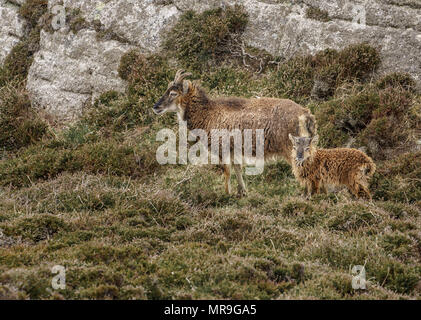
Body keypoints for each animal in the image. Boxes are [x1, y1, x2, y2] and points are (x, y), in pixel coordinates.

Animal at [152, 69, 316, 198]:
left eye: (173, 93)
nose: (156, 107)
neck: (208, 114)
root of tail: (305, 114)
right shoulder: (234, 149)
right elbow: (237, 168)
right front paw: (242, 192)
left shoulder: (222, 148)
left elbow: (226, 171)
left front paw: (227, 193)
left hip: (292, 147)